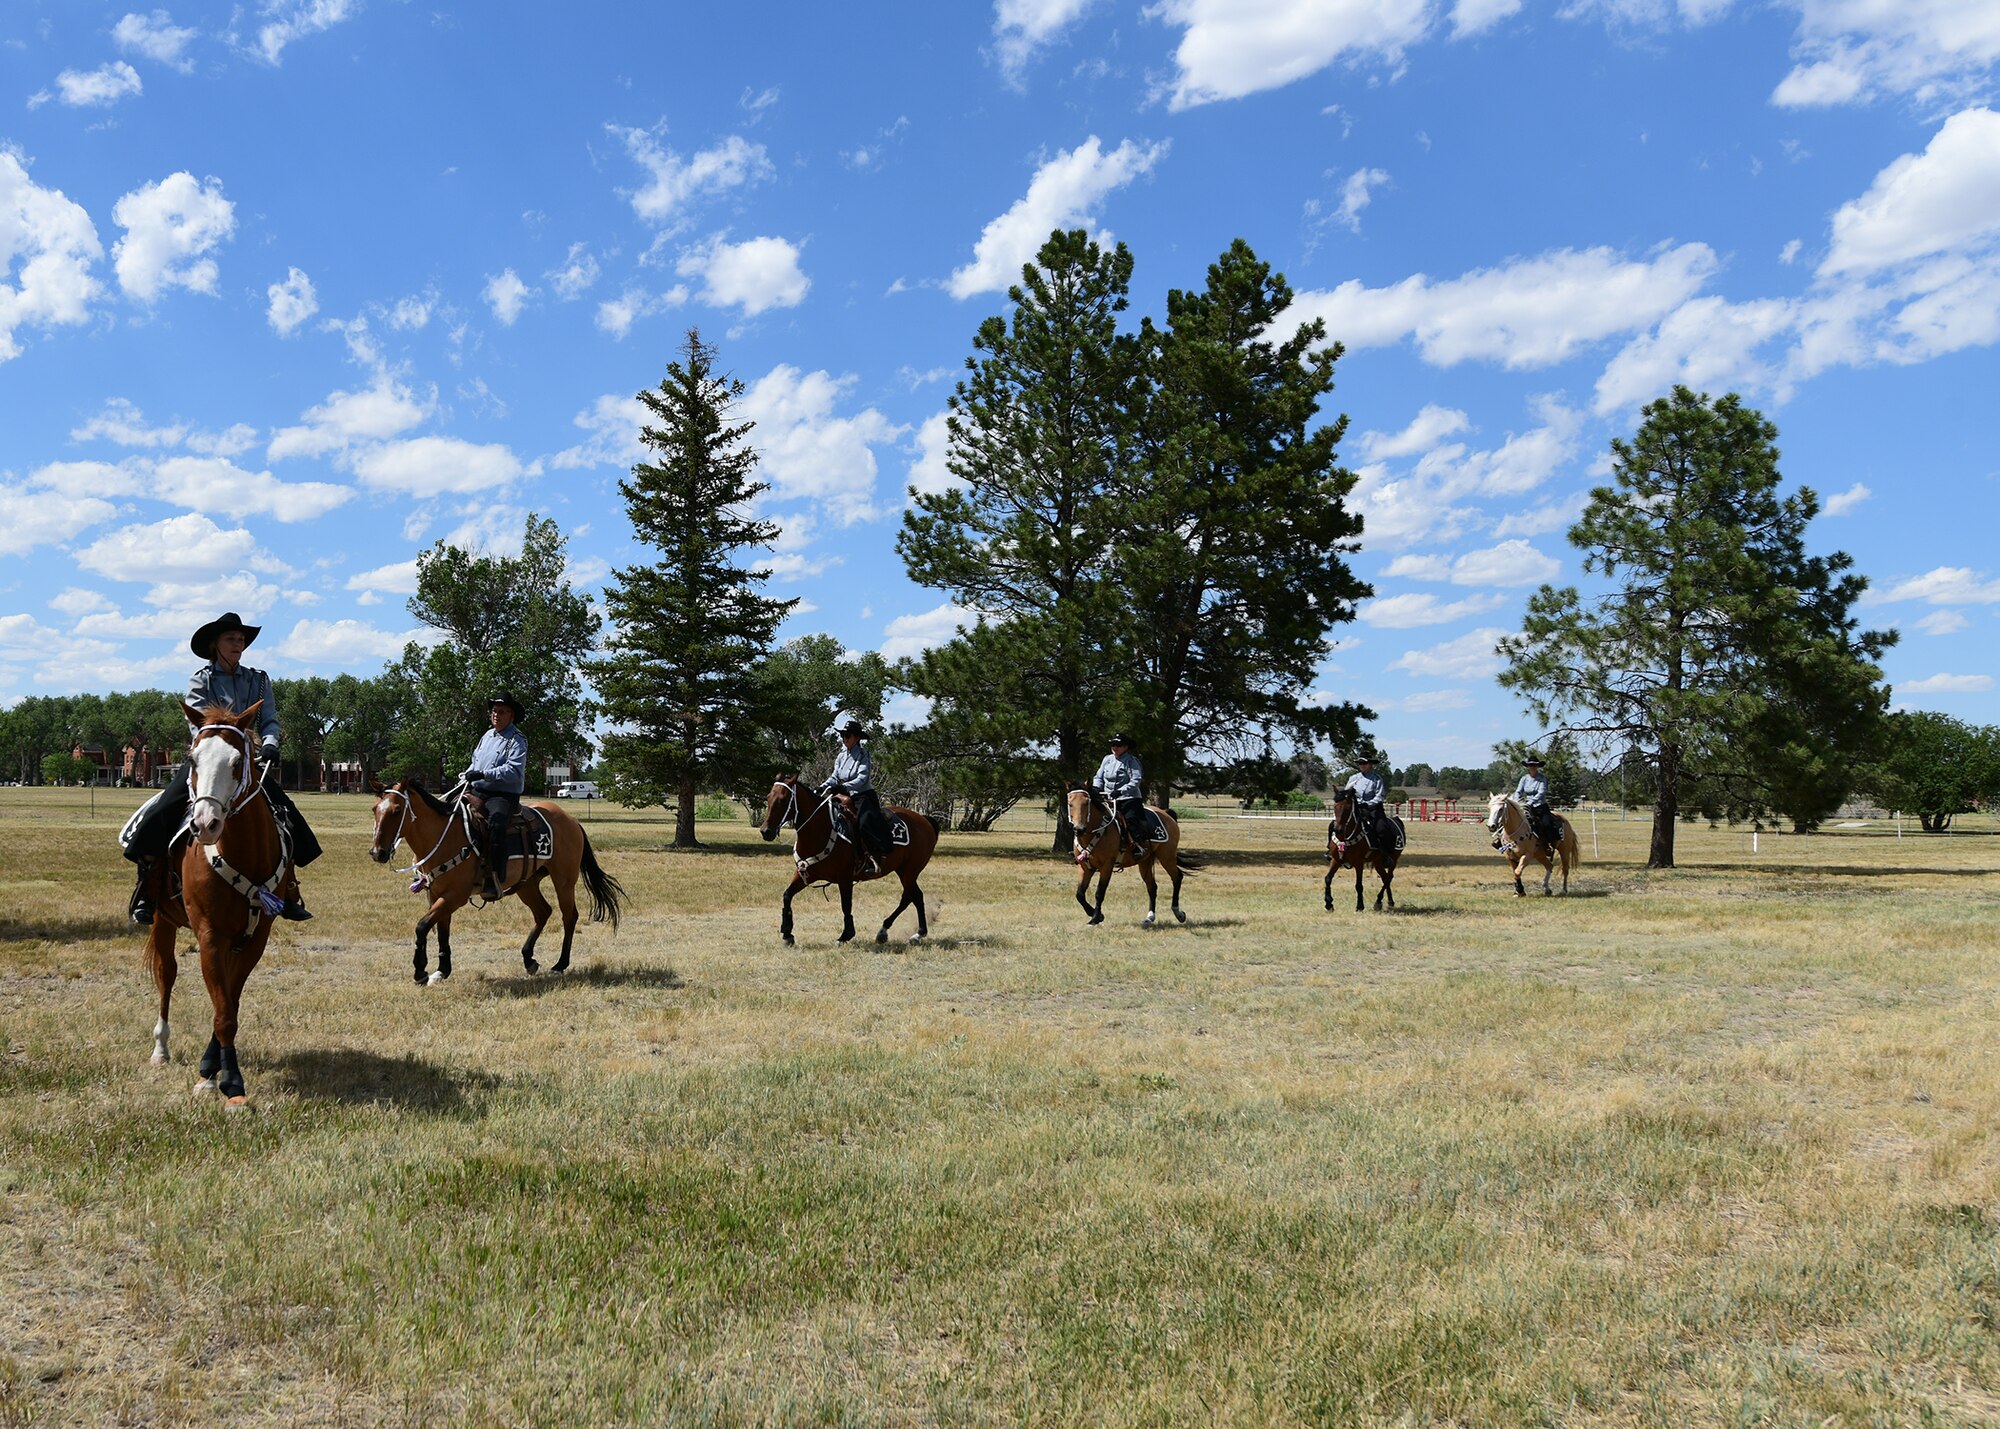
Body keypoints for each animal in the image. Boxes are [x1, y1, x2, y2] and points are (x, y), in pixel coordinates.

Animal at [141, 700, 292, 1104]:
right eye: (192, 759)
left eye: (238, 761)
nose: (204, 824)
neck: (244, 853)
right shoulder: (209, 935)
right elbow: (222, 1009)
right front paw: (228, 1083)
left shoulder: (255, 937)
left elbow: (229, 1003)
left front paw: (213, 1068)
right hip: (162, 920)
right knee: (166, 973)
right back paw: (160, 1048)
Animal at [368, 780, 624, 980]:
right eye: (374, 809)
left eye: (396, 810)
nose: (377, 852)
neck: (444, 836)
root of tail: (570, 819)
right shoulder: (437, 894)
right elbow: (441, 930)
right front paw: (442, 969)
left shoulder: (456, 896)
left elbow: (422, 926)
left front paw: (420, 971)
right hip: (527, 884)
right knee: (543, 912)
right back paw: (529, 959)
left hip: (564, 879)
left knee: (569, 916)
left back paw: (560, 964)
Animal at [756, 772, 936, 940]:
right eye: (768, 797)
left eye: (783, 799)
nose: (766, 831)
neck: (821, 829)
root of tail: (924, 819)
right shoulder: (804, 874)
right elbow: (787, 895)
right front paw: (787, 932)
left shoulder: (845, 878)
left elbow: (846, 905)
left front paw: (846, 934)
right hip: (904, 870)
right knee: (915, 896)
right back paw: (910, 932)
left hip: (910, 871)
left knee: (909, 897)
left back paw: (902, 931)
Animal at [1064, 780, 1184, 924]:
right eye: (1070, 803)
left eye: (1087, 802)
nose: (1079, 829)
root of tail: (1166, 813)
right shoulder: (1085, 867)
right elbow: (1080, 894)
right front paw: (1094, 914)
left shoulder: (1106, 866)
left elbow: (1100, 892)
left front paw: (1096, 917)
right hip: (1145, 862)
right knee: (1152, 887)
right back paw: (1150, 917)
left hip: (1167, 857)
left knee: (1177, 877)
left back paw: (1178, 913)